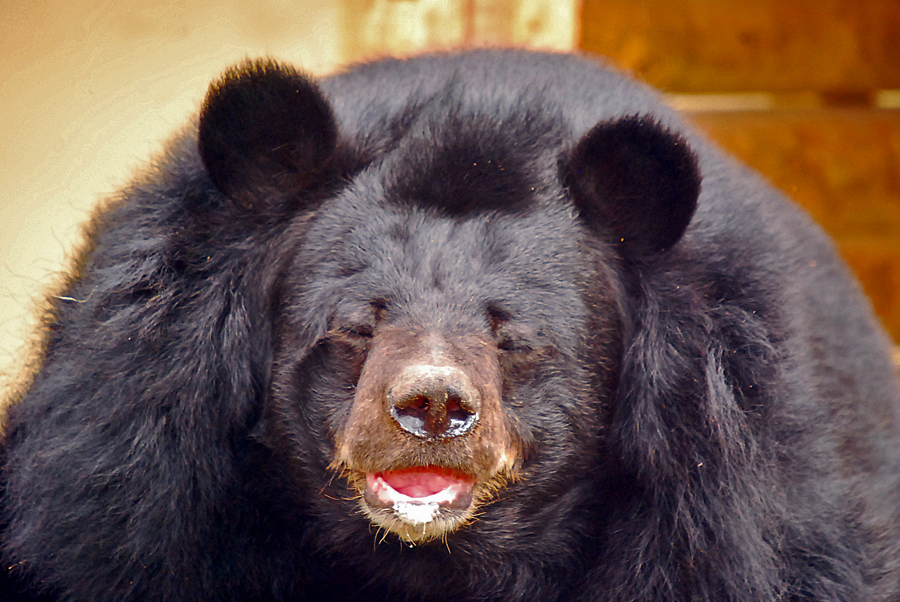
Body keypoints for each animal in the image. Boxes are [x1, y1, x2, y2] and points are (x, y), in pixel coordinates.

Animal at [2, 49, 899, 602]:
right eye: (353, 327)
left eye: (518, 339)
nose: (432, 407)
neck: (433, 565)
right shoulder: (138, 490)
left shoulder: (728, 515)